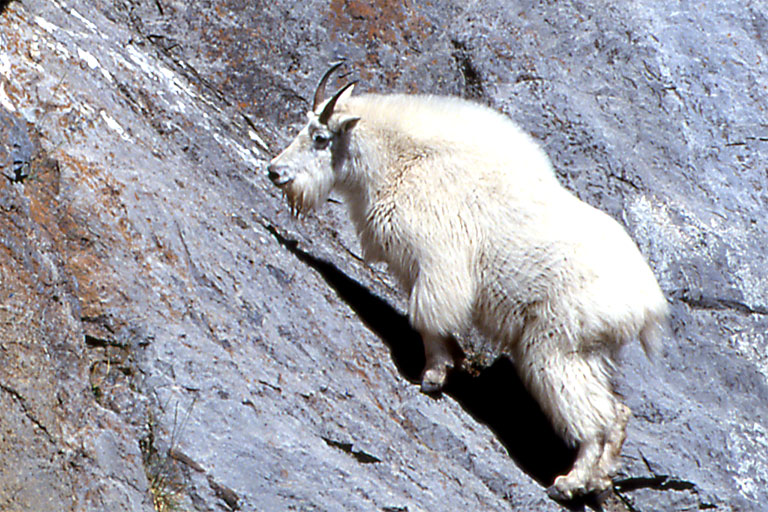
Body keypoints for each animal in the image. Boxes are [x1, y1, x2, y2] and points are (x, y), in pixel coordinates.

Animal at [267, 63, 668, 501]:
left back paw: (568, 484)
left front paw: (432, 377)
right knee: (618, 414)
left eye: (320, 138)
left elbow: (427, 319)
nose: (275, 171)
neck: (400, 162)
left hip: (558, 347)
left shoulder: (438, 263)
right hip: (593, 353)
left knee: (593, 419)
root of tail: (648, 306)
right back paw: (598, 480)